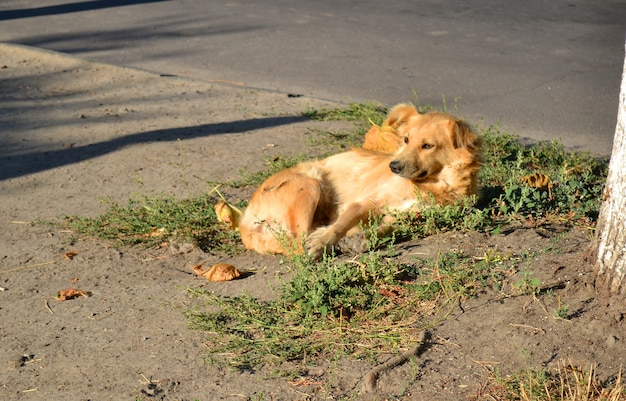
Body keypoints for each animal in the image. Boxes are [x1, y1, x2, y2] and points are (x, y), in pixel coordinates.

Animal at [236, 103, 480, 260]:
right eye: (406, 140)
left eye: (427, 146)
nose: (393, 166)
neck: (431, 185)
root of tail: (243, 222)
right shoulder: (364, 203)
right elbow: (339, 226)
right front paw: (324, 241)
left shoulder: (412, 217)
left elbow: (385, 229)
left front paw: (362, 240)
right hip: (310, 185)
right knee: (301, 238)